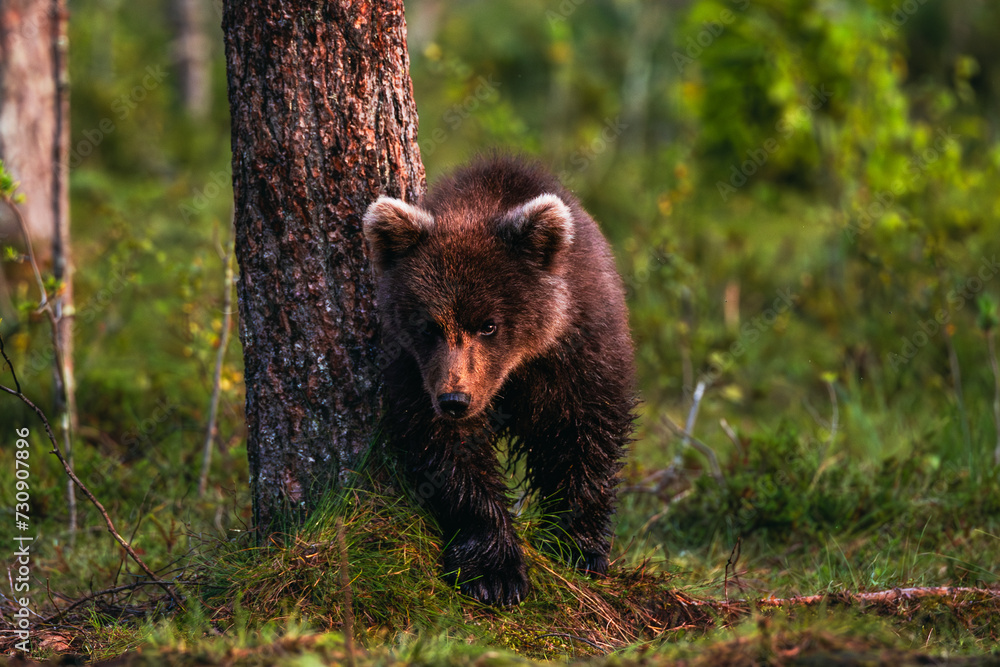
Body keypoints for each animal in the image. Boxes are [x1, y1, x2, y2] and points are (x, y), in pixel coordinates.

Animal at [363, 155, 635, 606]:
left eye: (489, 324)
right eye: (429, 325)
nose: (455, 399)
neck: (515, 370)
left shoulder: (579, 349)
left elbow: (587, 433)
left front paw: (579, 547)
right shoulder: (416, 372)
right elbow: (451, 456)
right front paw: (495, 573)